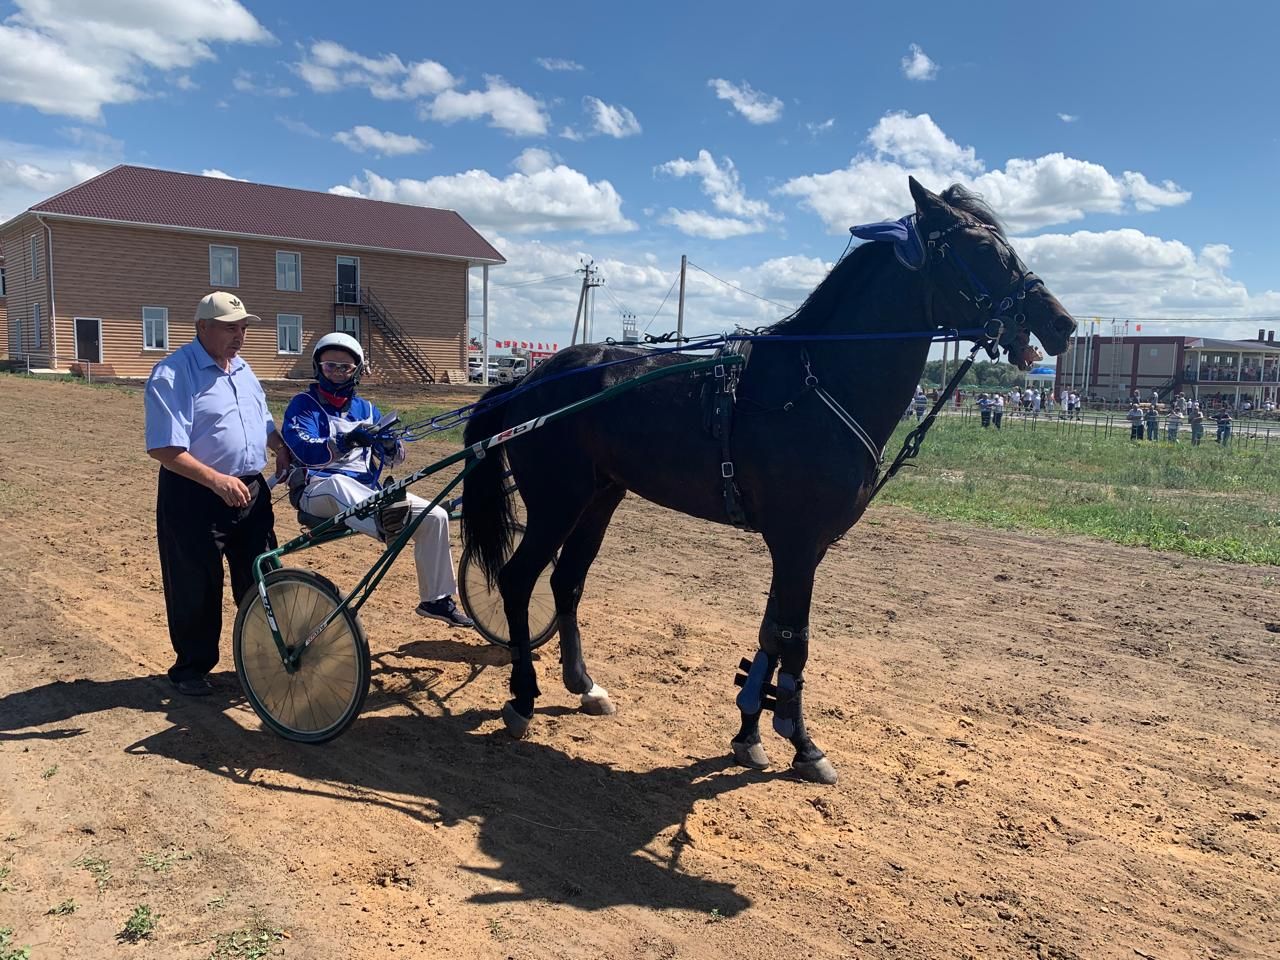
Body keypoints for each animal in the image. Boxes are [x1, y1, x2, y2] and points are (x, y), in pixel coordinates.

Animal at [465, 179, 1075, 783]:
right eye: (986, 250)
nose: (1062, 323)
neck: (816, 385)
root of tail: (529, 380)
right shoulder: (797, 540)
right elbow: (794, 640)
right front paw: (803, 744)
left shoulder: (806, 544)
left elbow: (771, 633)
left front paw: (751, 732)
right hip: (556, 501)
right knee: (518, 580)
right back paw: (522, 697)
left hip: (598, 498)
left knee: (567, 582)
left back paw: (584, 685)